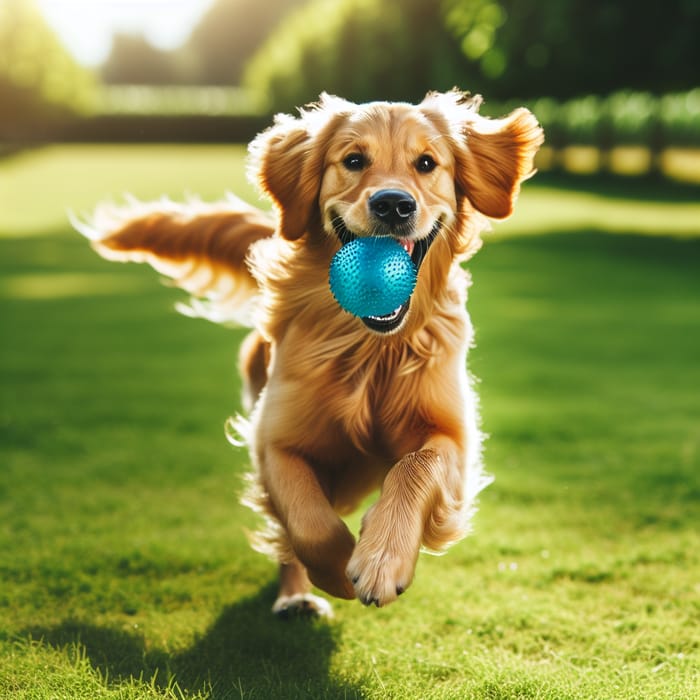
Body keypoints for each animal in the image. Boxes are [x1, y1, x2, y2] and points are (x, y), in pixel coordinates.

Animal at [76, 89, 540, 616]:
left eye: (427, 163)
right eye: (353, 160)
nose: (393, 204)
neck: (368, 345)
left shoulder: (452, 435)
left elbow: (415, 468)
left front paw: (382, 558)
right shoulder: (275, 439)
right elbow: (306, 520)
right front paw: (338, 569)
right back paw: (296, 598)